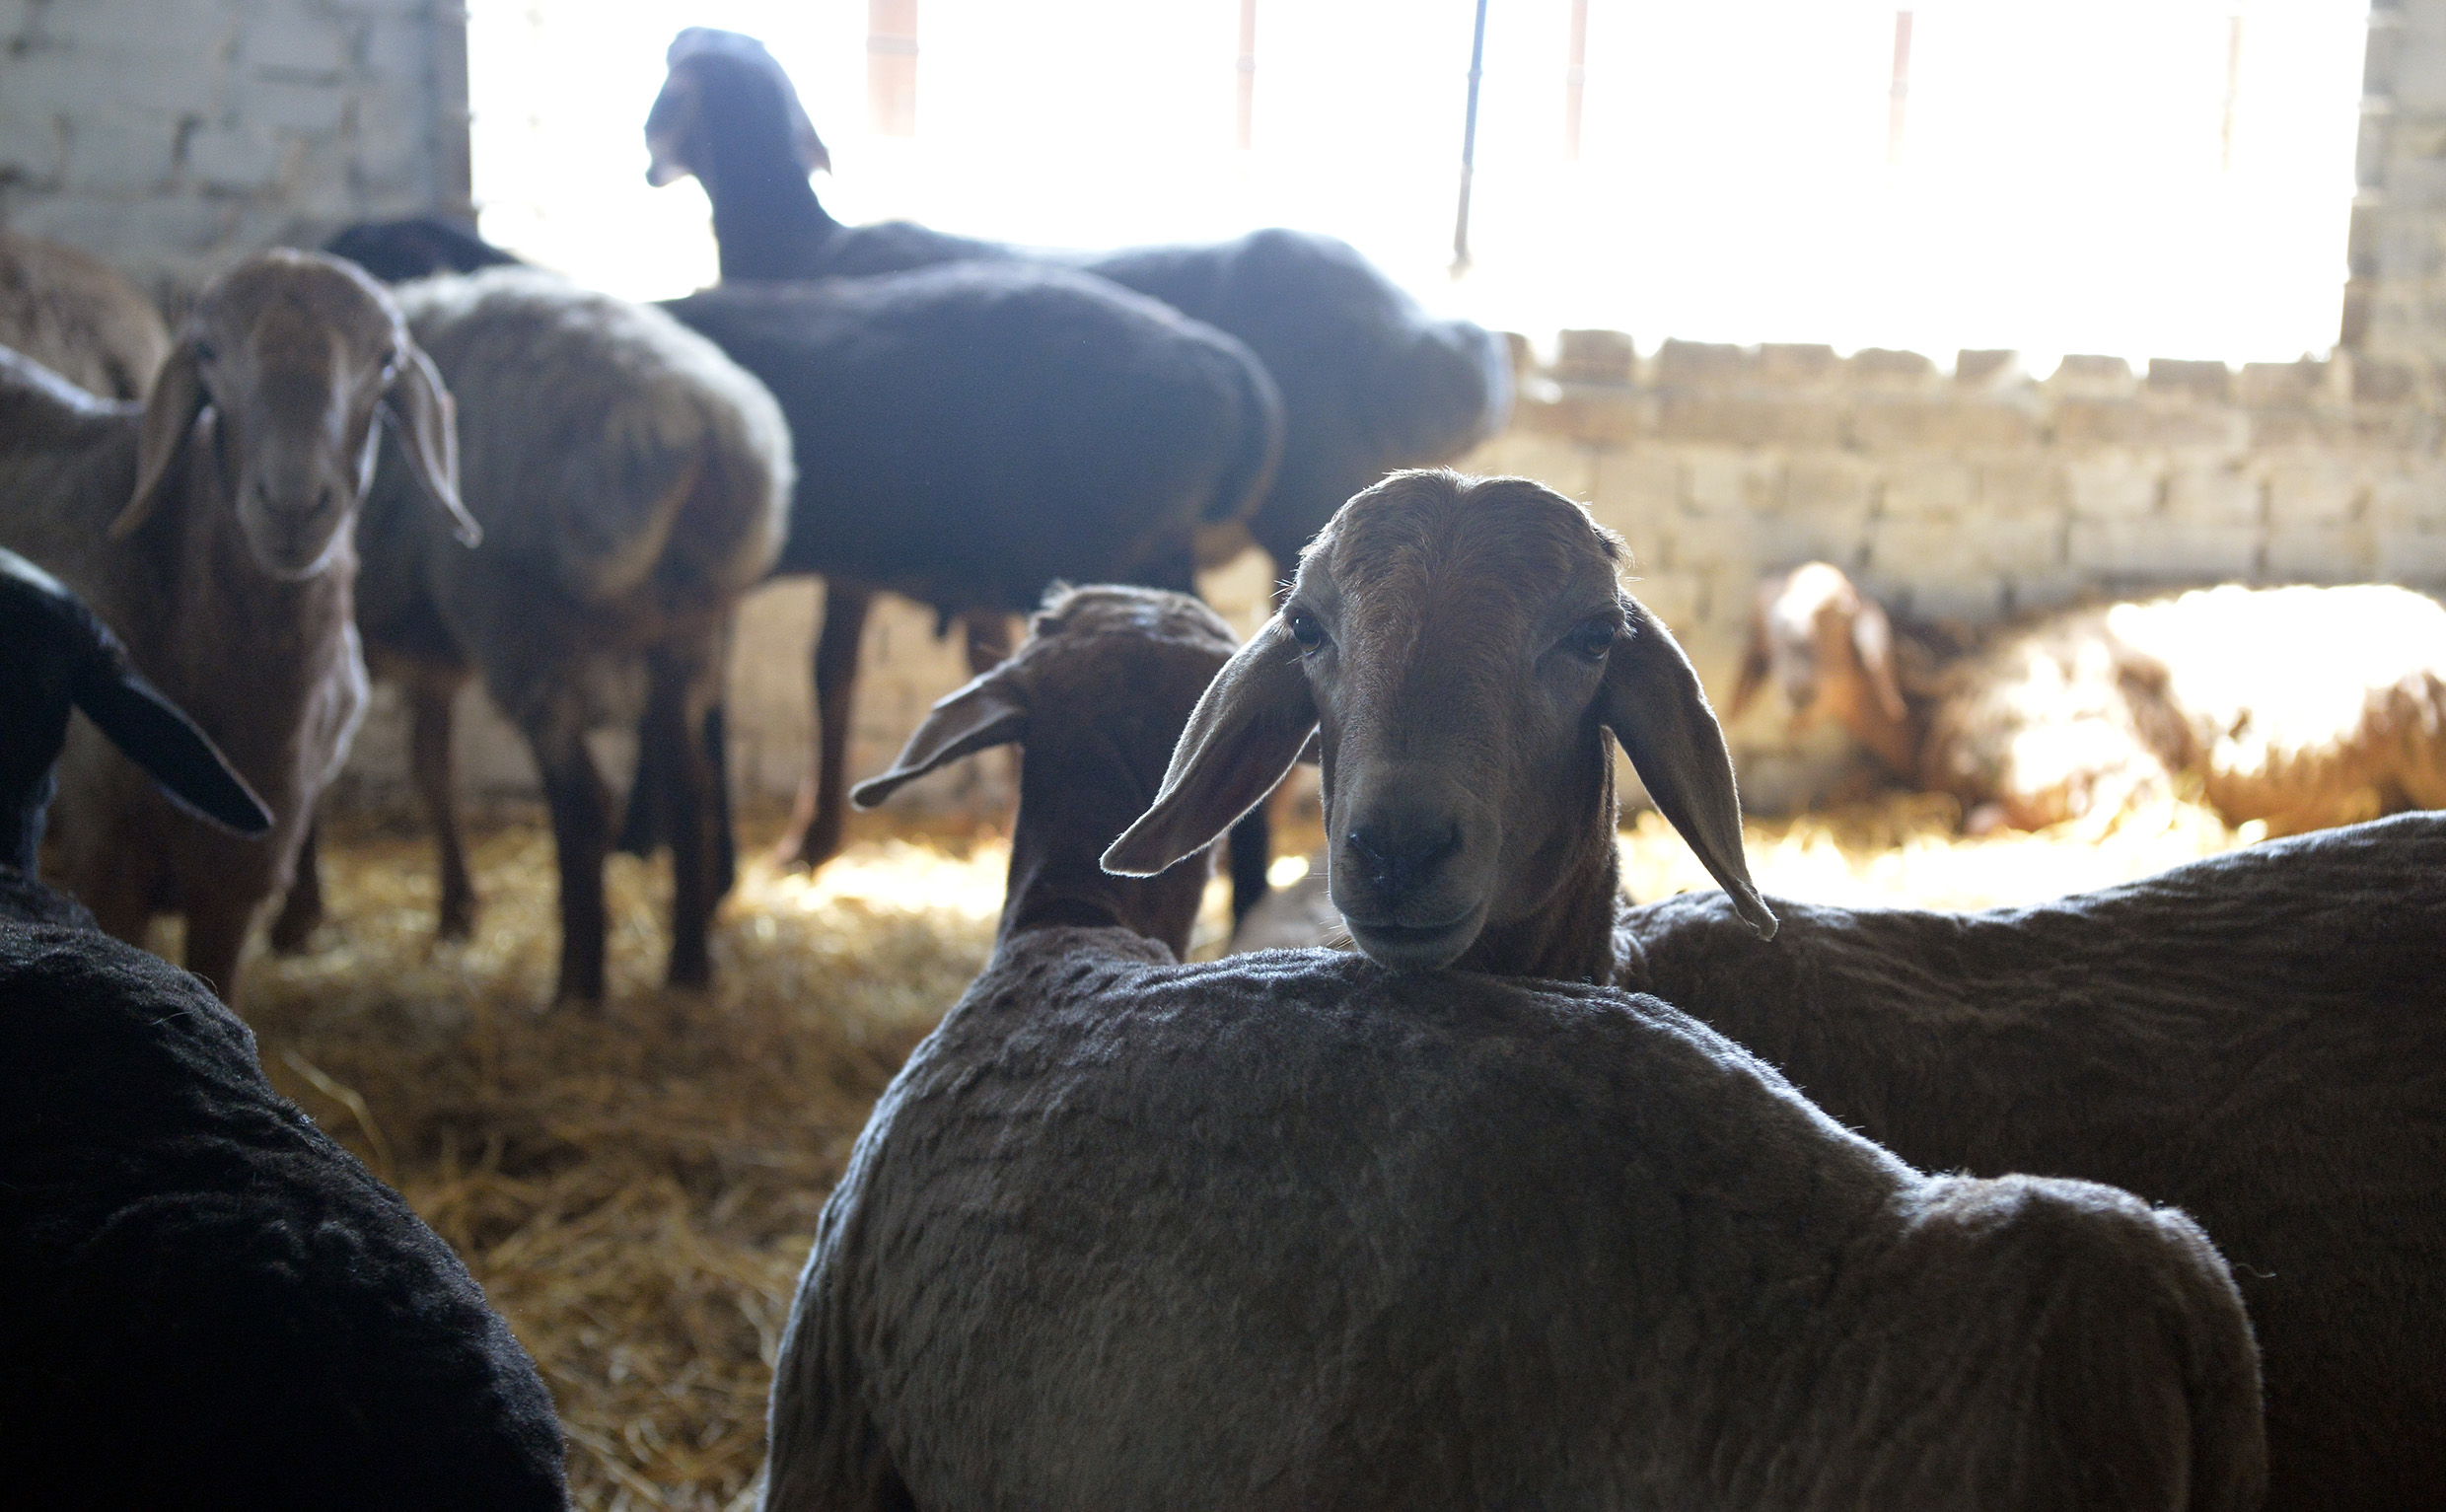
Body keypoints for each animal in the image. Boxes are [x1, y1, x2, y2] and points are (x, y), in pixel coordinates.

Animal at [272, 265, 792, 1005]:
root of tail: (704, 424)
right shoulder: (430, 662)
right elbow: (432, 770)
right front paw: (455, 912)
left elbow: (305, 781)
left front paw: (298, 918)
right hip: (684, 634)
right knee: (688, 789)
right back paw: (687, 968)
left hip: (520, 627)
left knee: (584, 801)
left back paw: (578, 984)